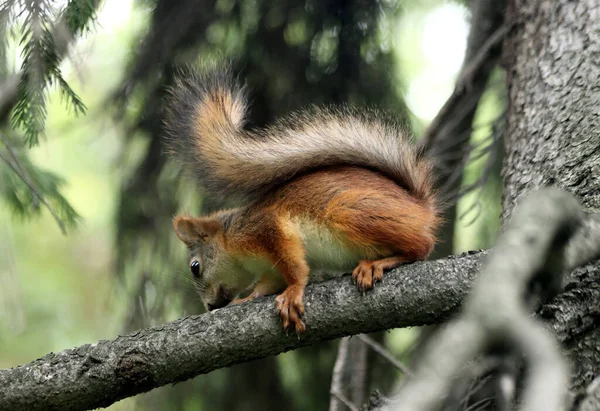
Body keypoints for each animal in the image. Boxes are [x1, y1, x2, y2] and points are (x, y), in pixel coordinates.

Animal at [164, 66, 440, 334]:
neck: (232, 240)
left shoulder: (267, 229)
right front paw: (248, 298)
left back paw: (376, 264)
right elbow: (267, 285)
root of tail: (420, 207)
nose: (210, 307)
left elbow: (295, 267)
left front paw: (294, 291)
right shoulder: (269, 269)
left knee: (421, 247)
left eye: (195, 267)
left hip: (349, 211)